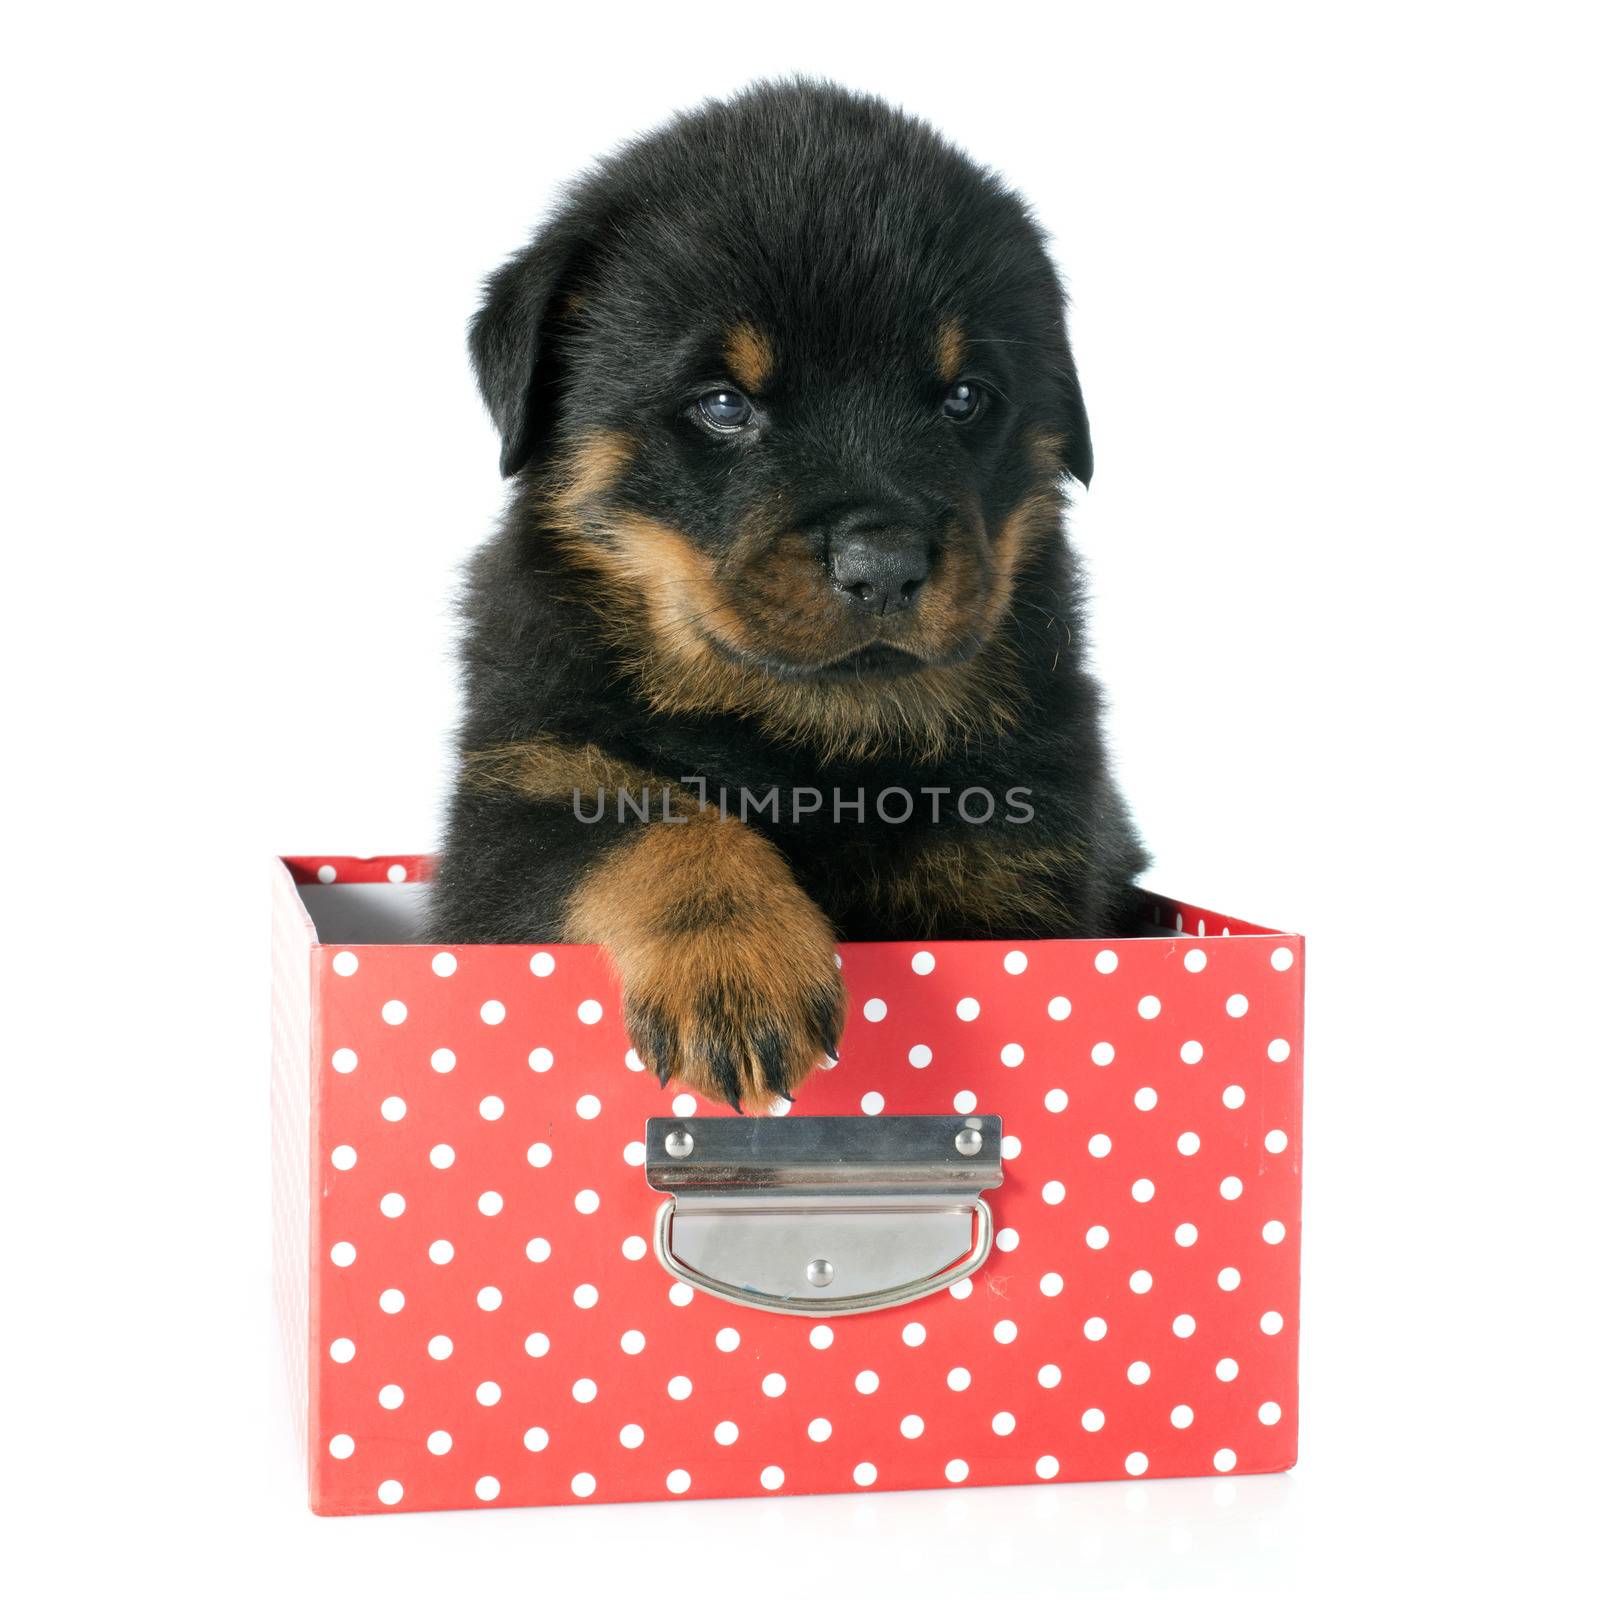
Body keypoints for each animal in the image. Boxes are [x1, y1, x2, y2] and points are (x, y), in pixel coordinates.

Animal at [428, 81, 1152, 1107]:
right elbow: (642, 815)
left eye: (965, 397)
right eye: (725, 405)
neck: (816, 732)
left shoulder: (1021, 852)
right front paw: (735, 972)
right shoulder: (519, 785)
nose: (882, 563)